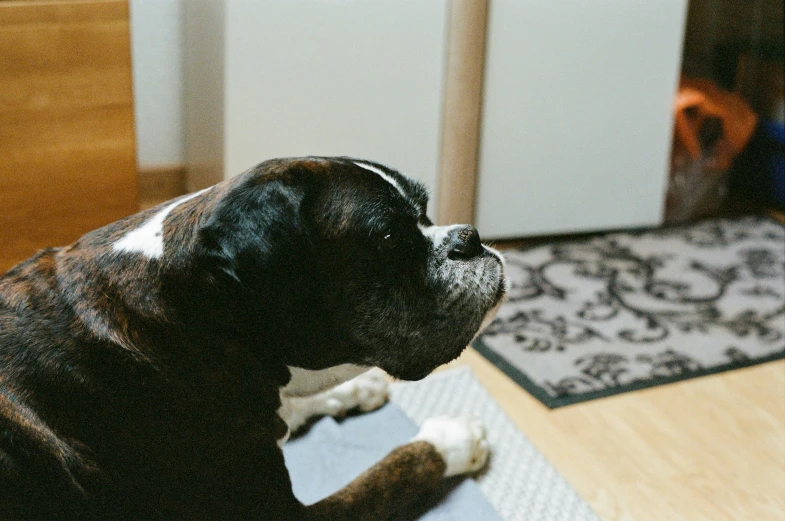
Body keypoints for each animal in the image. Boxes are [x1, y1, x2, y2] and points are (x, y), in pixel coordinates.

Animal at [0, 156, 506, 516]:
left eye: (425, 210)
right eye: (387, 239)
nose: (469, 236)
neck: (195, 312)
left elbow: (293, 407)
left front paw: (354, 389)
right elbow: (394, 470)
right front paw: (452, 440)